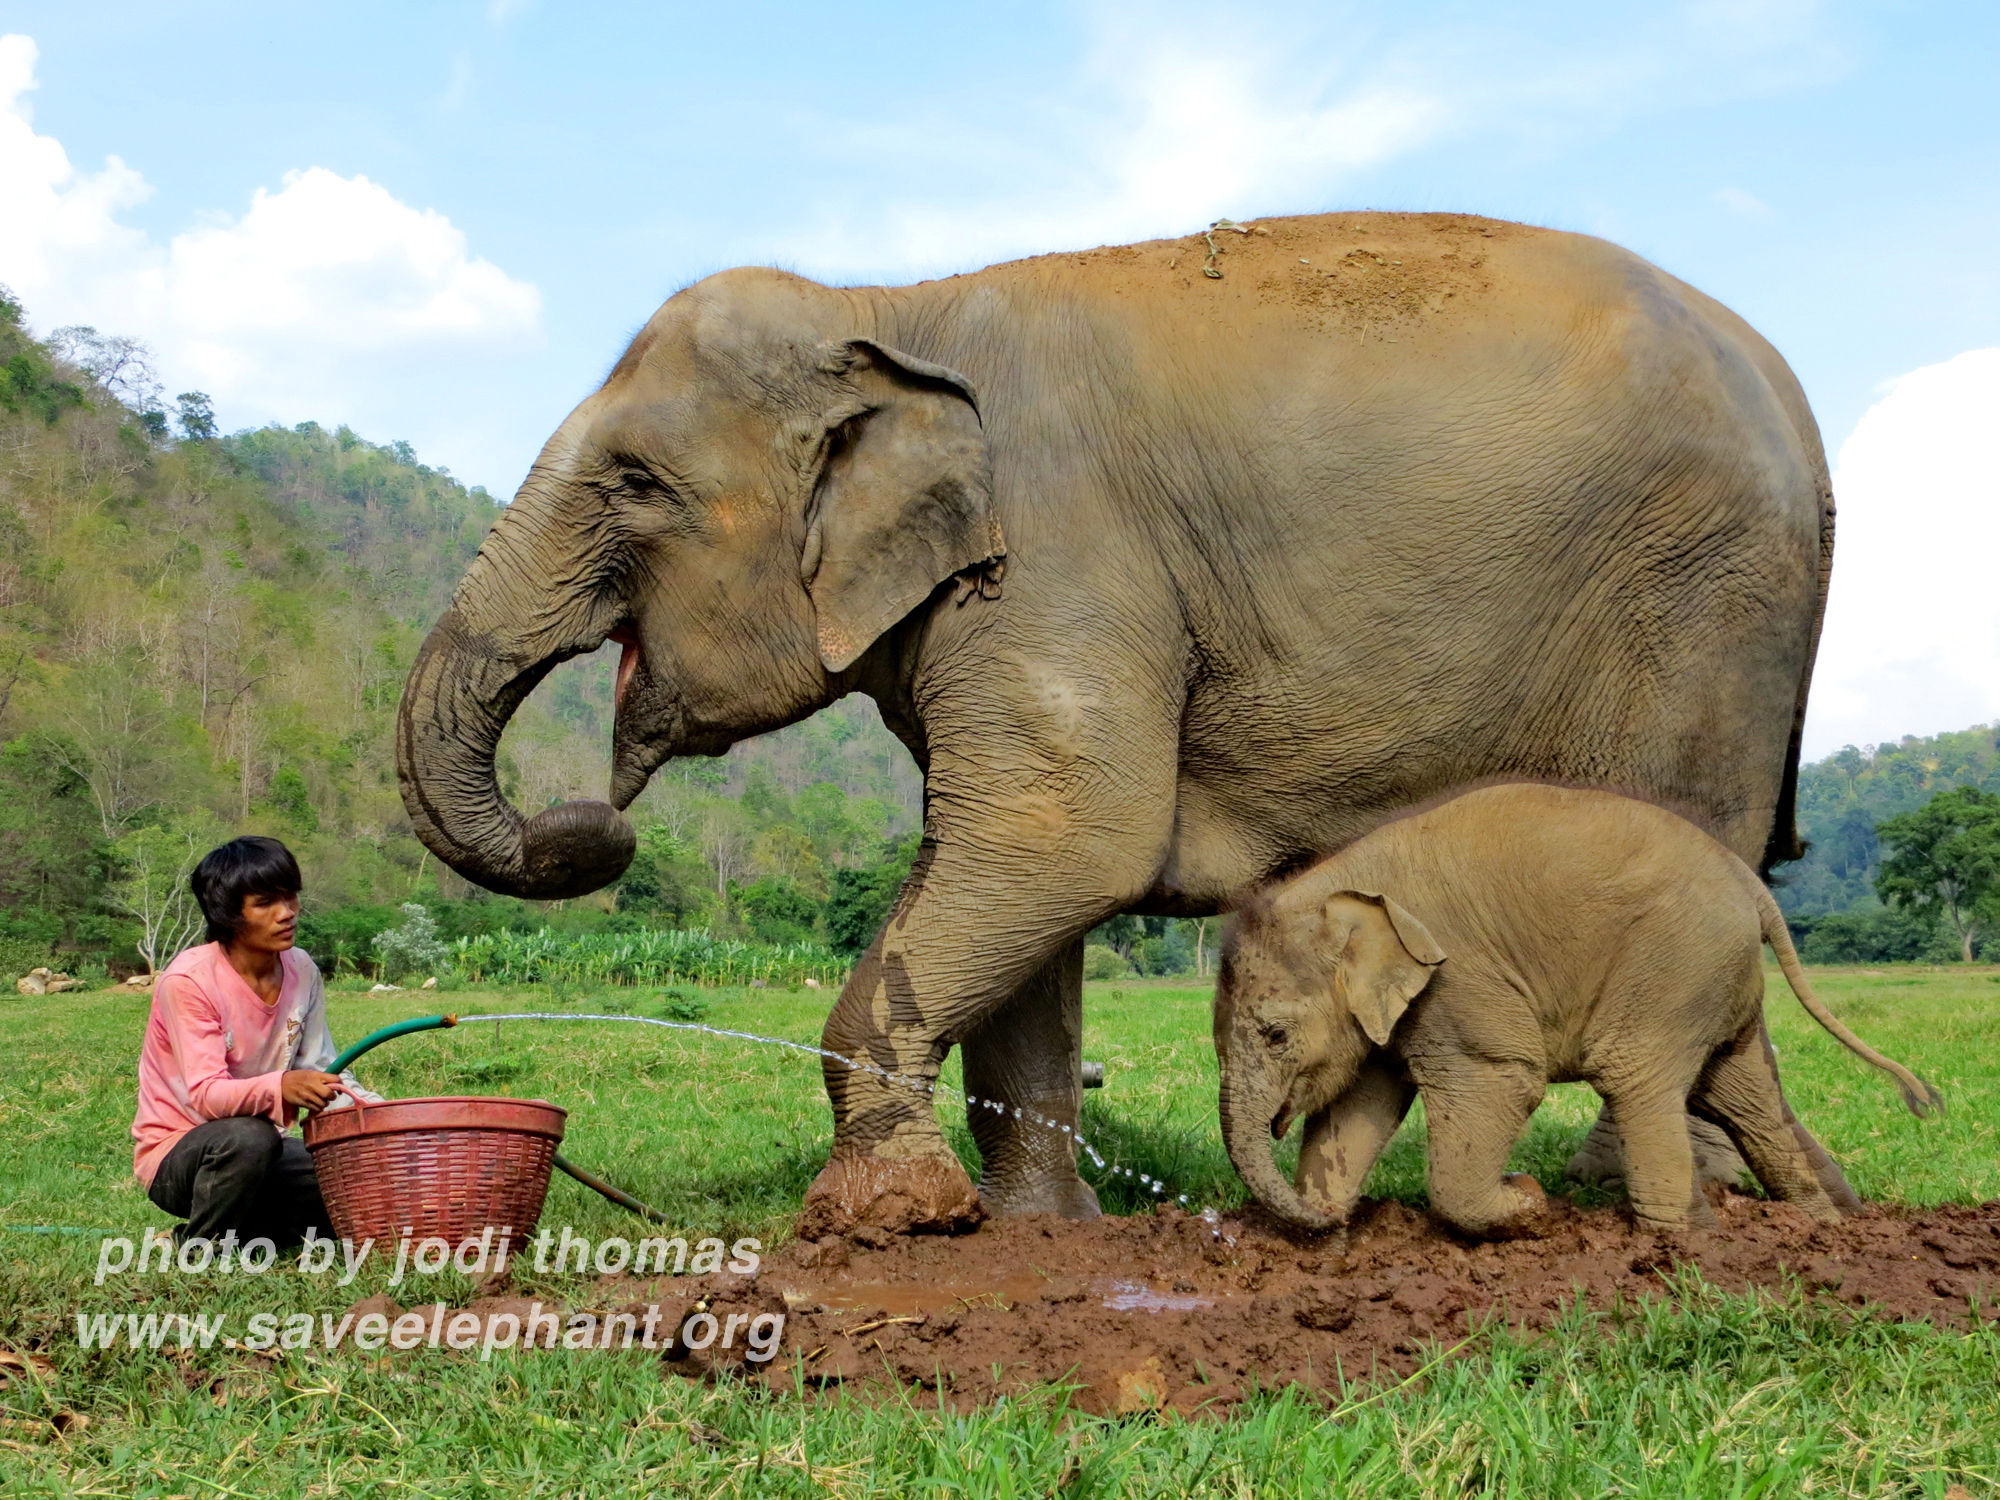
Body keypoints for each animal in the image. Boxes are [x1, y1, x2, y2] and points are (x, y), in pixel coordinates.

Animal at [398, 217, 1848, 1240]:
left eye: (634, 484)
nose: (593, 823)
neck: (885, 305)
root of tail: (1797, 402)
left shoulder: (1059, 562)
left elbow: (1061, 838)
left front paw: (887, 1222)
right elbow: (1014, 884)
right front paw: (1038, 1228)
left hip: (1708, 615)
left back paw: (1642, 1193)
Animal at [1208, 780, 1944, 1240]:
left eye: (1275, 1036)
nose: (1323, 1224)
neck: (1334, 882)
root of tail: (1750, 884)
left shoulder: (1460, 980)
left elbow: (1503, 1079)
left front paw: (1528, 1203)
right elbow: (1358, 1110)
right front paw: (1327, 1232)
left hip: (1676, 961)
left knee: (1639, 1075)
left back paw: (1687, 1245)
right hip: (1716, 977)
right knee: (1743, 1094)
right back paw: (1824, 1223)